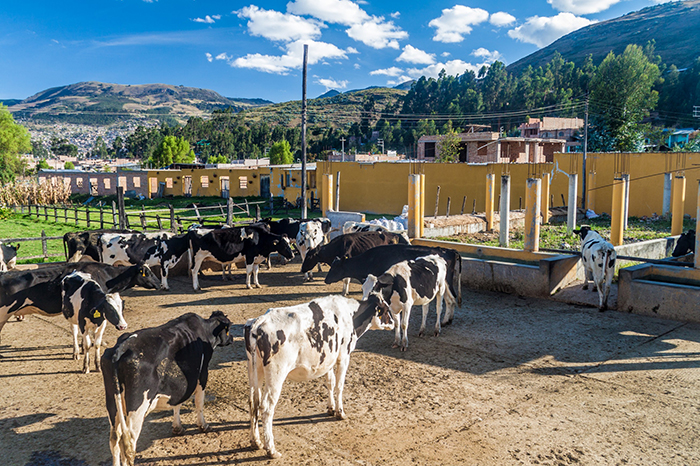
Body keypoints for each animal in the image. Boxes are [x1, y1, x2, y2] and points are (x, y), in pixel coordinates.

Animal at [101, 312, 232, 466]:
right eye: (229, 328)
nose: (232, 338)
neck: (205, 330)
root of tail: (120, 349)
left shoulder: (179, 384)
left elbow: (178, 401)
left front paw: (177, 427)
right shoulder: (202, 374)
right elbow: (199, 403)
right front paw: (203, 426)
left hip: (112, 403)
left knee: (114, 438)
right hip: (137, 407)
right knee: (129, 441)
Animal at [245, 294, 394, 458]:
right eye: (386, 309)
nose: (394, 323)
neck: (351, 314)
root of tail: (259, 322)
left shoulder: (329, 359)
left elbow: (330, 383)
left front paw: (331, 408)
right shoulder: (344, 356)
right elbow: (339, 386)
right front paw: (340, 413)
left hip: (254, 370)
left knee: (253, 402)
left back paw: (256, 442)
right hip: (276, 374)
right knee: (266, 407)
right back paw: (271, 449)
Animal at [326, 244, 462, 306]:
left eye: (334, 268)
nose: (326, 280)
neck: (370, 259)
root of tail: (449, 250)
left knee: (450, 299)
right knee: (450, 299)